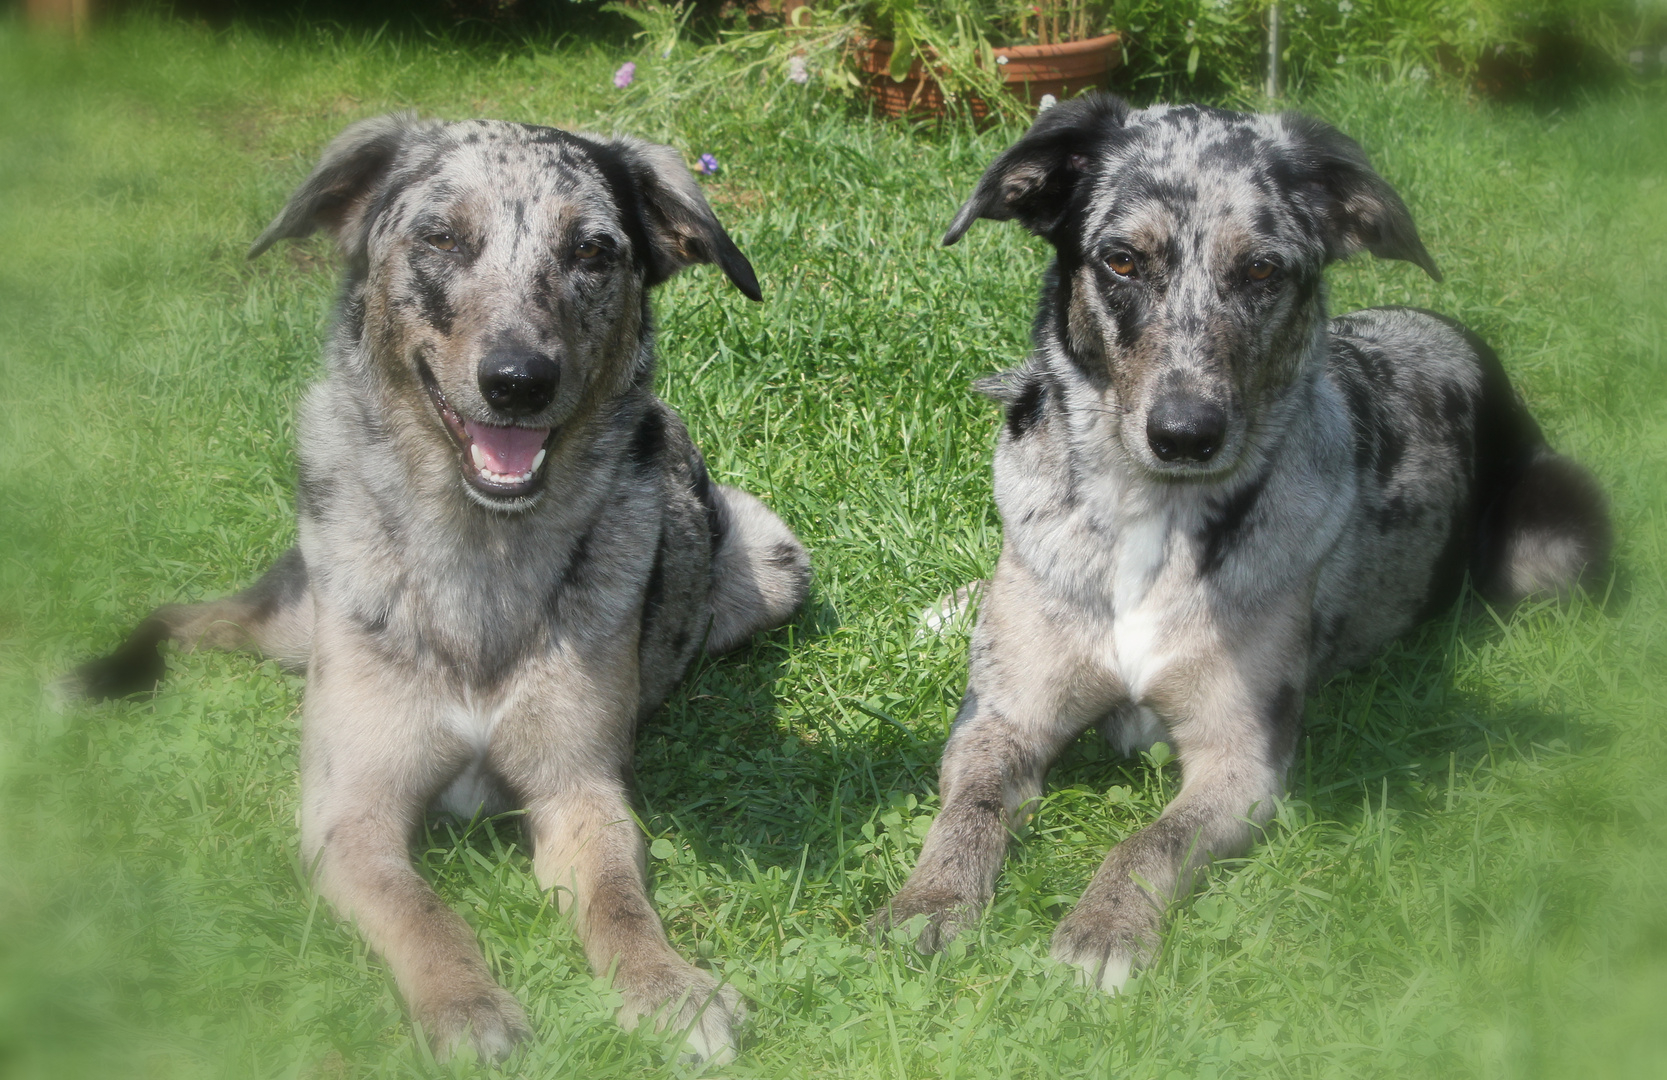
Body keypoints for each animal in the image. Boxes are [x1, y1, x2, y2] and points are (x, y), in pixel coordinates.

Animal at [68, 111, 810, 1060]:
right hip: (292, 620)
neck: (480, 549)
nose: (520, 381)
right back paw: (104, 676)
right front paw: (464, 1003)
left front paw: (667, 986)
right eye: (440, 238)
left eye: (593, 251)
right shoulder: (351, 813)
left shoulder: (579, 791)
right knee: (191, 613)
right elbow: (420, 912)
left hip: (776, 563)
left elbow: (618, 901)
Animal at [866, 95, 1606, 993]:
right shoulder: (1001, 717)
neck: (1153, 521)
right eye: (1120, 261)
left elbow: (1151, 840)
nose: (1186, 434)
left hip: (1547, 546)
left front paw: (1103, 928)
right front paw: (926, 903)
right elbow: (964, 810)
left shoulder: (1240, 759)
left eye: (1261, 271)